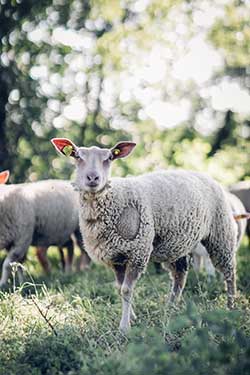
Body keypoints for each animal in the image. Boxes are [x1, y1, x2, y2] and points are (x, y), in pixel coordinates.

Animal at [51, 138, 239, 332]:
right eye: (77, 156)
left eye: (109, 158)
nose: (93, 178)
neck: (113, 199)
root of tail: (204, 174)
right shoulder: (116, 256)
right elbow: (119, 287)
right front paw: (132, 317)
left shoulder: (137, 251)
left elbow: (126, 289)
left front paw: (124, 327)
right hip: (177, 244)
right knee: (179, 275)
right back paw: (171, 308)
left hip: (221, 232)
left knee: (229, 271)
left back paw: (231, 306)